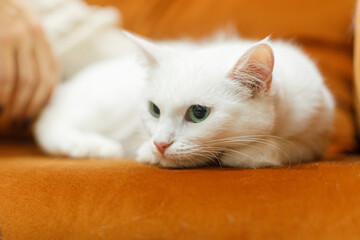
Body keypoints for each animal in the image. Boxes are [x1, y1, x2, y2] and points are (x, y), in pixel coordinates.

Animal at [33, 31, 334, 168]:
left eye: (198, 113)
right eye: (154, 110)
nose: (160, 143)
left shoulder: (315, 135)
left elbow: (283, 147)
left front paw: (248, 151)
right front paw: (149, 152)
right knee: (50, 124)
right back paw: (93, 146)